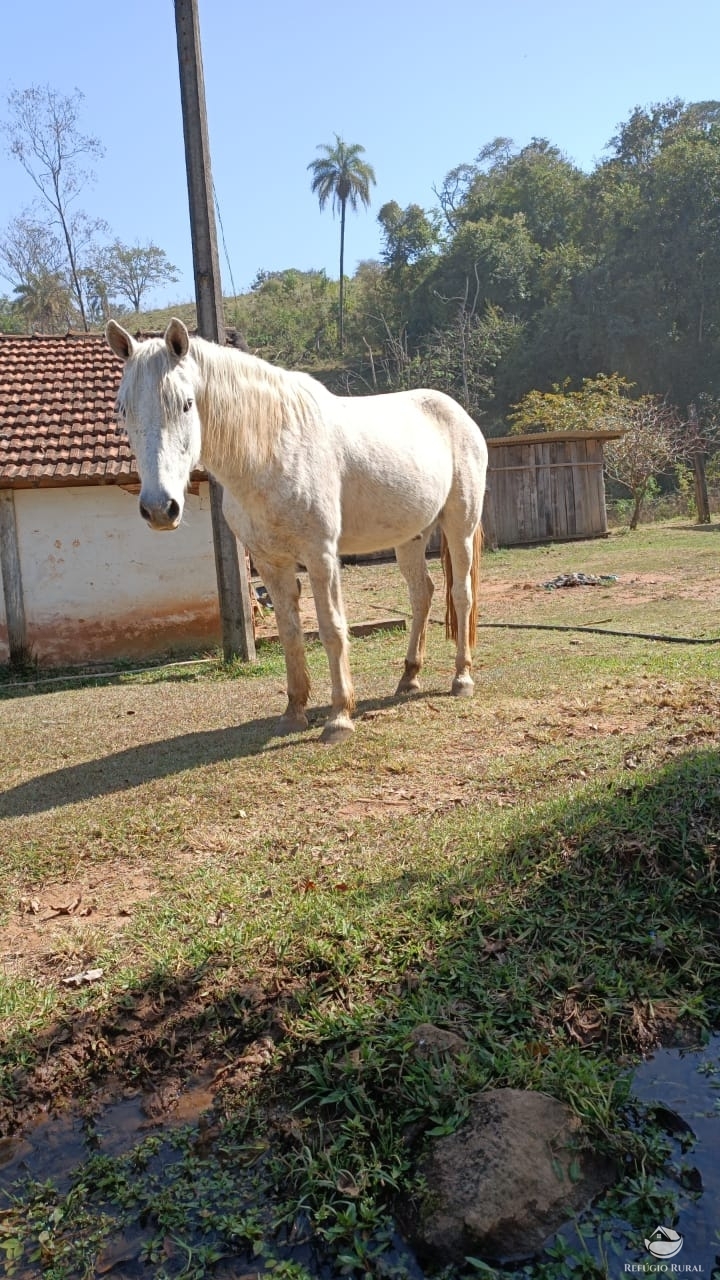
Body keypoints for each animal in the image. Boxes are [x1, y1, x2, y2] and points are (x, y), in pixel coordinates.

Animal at [106, 314, 486, 747]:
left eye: (186, 404)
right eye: (123, 409)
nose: (159, 508)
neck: (272, 449)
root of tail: (460, 415)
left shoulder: (321, 557)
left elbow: (332, 629)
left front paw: (339, 718)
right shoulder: (272, 564)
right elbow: (290, 632)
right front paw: (294, 712)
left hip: (460, 526)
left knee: (461, 595)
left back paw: (461, 678)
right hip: (410, 537)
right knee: (422, 594)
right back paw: (408, 678)